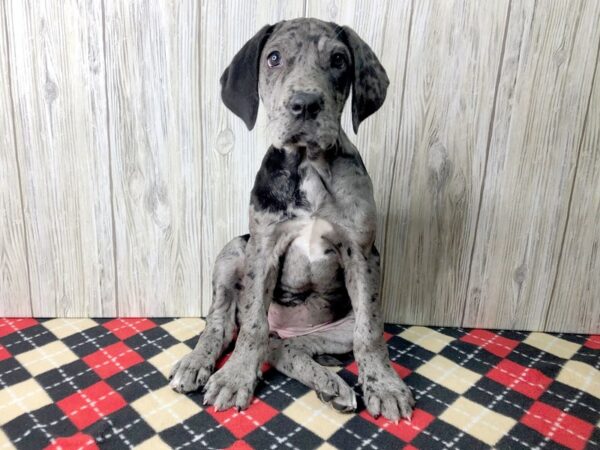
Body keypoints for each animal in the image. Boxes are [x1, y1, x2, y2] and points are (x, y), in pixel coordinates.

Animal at [166, 18, 414, 422]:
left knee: (284, 349)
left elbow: (371, 335)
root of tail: (285, 331)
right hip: (234, 250)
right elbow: (251, 326)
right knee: (225, 326)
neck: (309, 163)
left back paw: (332, 386)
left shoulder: (361, 253)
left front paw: (384, 385)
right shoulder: (264, 247)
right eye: (274, 58)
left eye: (339, 60)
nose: (305, 104)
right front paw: (235, 377)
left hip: (336, 328)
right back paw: (197, 362)